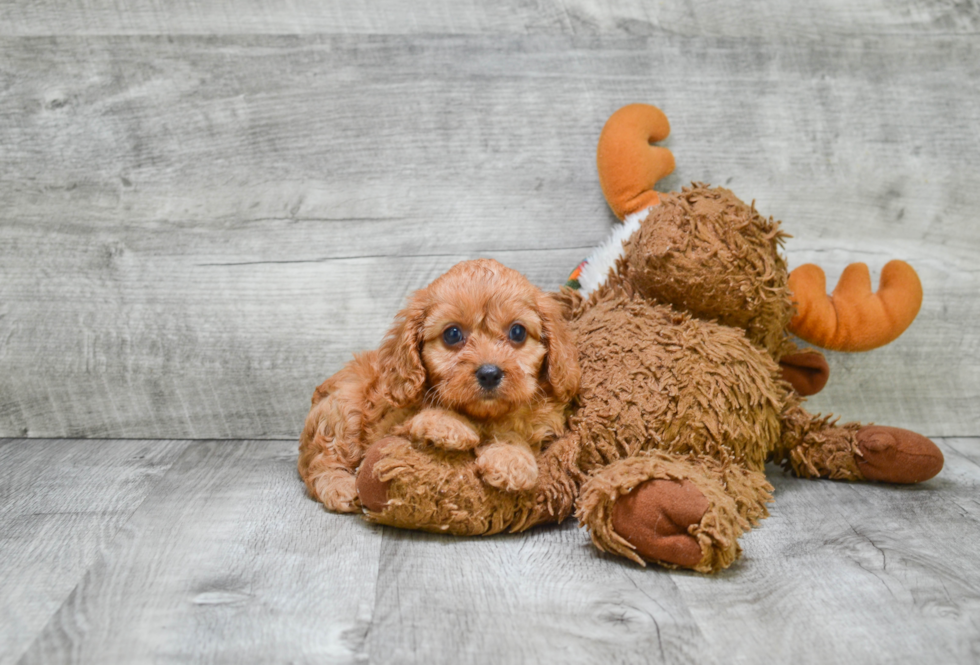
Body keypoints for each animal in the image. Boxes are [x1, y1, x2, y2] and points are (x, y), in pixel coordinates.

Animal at [294, 256, 580, 510]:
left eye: (517, 332)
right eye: (452, 334)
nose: (489, 373)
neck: (484, 415)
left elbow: (516, 434)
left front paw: (511, 459)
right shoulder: (386, 425)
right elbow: (418, 418)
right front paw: (449, 425)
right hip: (342, 406)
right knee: (318, 462)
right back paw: (340, 486)